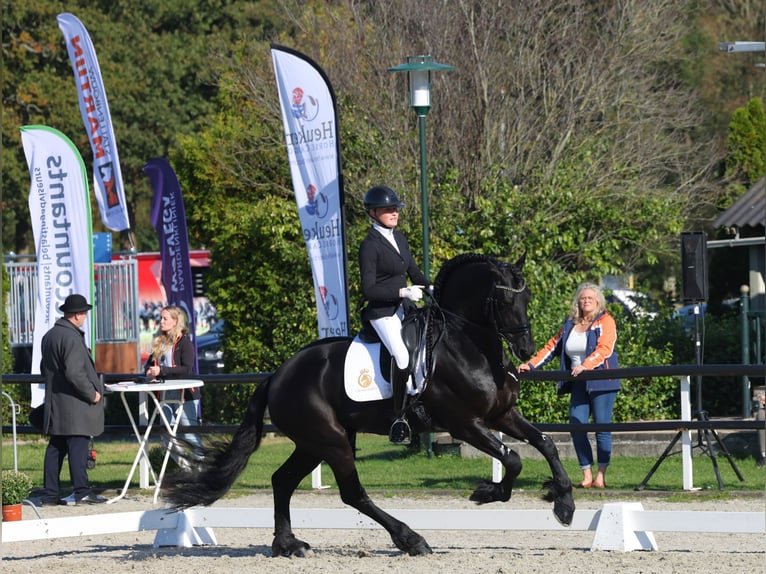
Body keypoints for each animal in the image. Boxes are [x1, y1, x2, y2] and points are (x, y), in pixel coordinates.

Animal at [166, 253, 576, 560]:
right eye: (504, 300)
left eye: (527, 298)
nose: (525, 350)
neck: (470, 346)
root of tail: (278, 374)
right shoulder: (464, 424)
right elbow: (513, 459)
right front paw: (486, 493)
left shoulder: (501, 415)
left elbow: (545, 444)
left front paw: (564, 504)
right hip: (330, 441)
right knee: (352, 493)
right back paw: (411, 540)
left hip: (314, 443)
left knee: (282, 481)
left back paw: (288, 545)